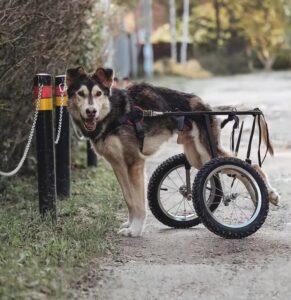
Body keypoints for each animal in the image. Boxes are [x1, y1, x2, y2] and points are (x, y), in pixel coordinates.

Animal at [66, 65, 280, 237]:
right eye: (81, 94)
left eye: (98, 94)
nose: (91, 111)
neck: (114, 113)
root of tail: (206, 105)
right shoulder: (117, 164)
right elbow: (129, 199)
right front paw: (129, 224)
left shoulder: (135, 162)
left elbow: (138, 202)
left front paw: (135, 229)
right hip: (197, 157)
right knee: (241, 169)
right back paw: (260, 197)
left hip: (207, 152)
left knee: (249, 166)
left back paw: (269, 194)